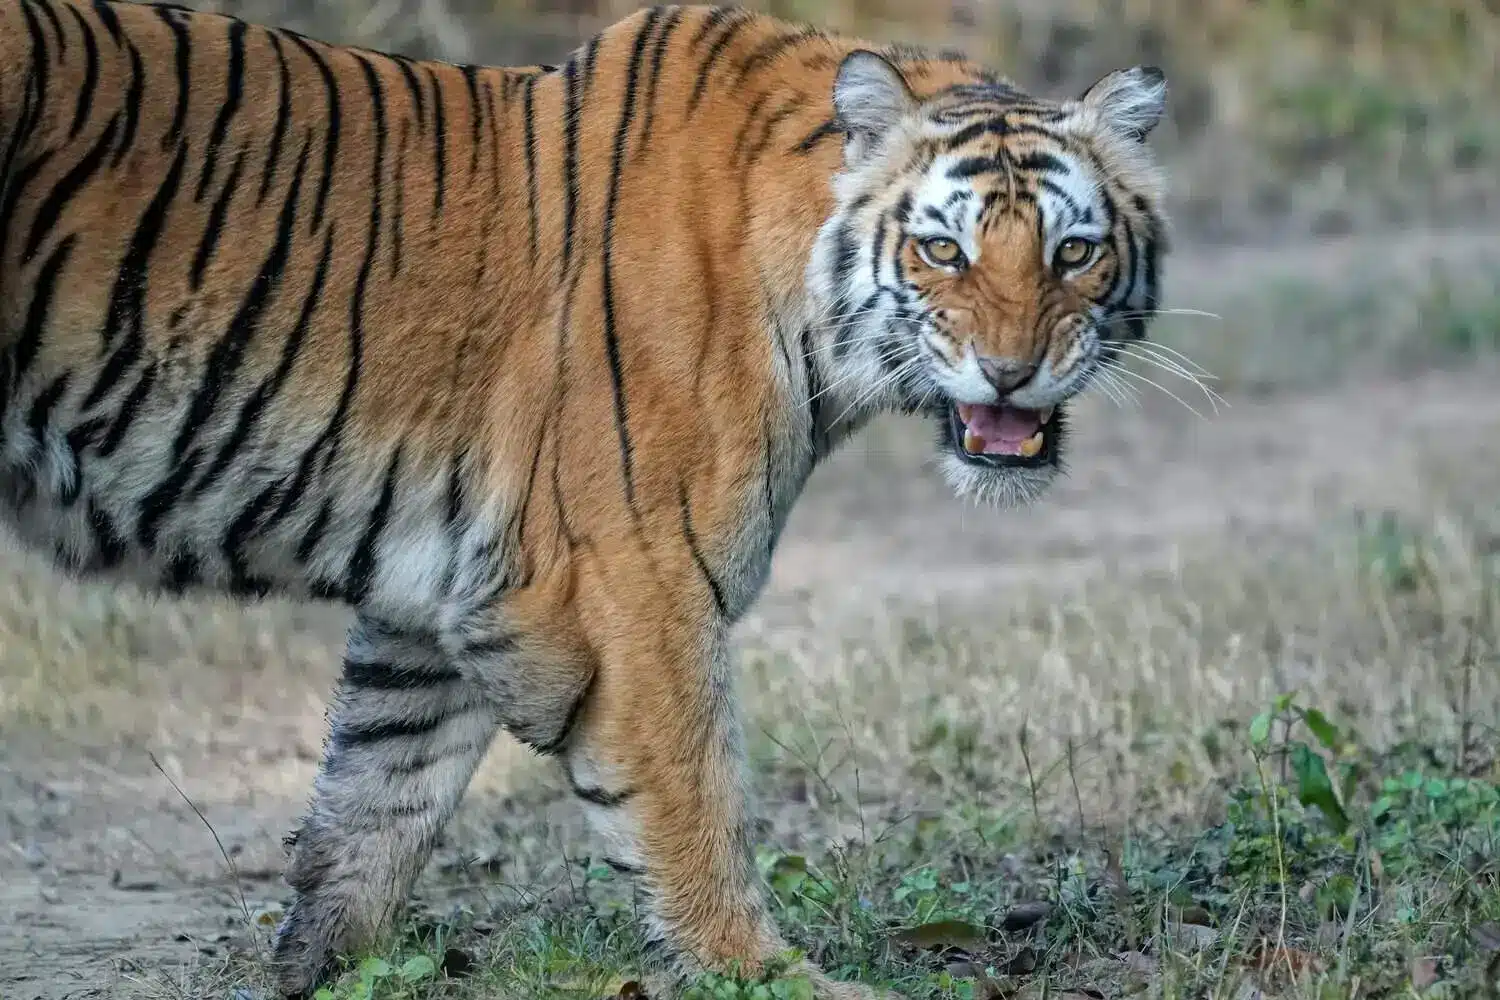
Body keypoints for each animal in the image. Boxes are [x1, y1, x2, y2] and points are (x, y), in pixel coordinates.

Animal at [0, 1, 1170, 995]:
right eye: (942, 250)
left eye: (1074, 250)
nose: (1011, 374)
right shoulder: (633, 580)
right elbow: (693, 801)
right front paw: (769, 973)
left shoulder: (450, 591)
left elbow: (377, 793)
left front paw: (317, 970)